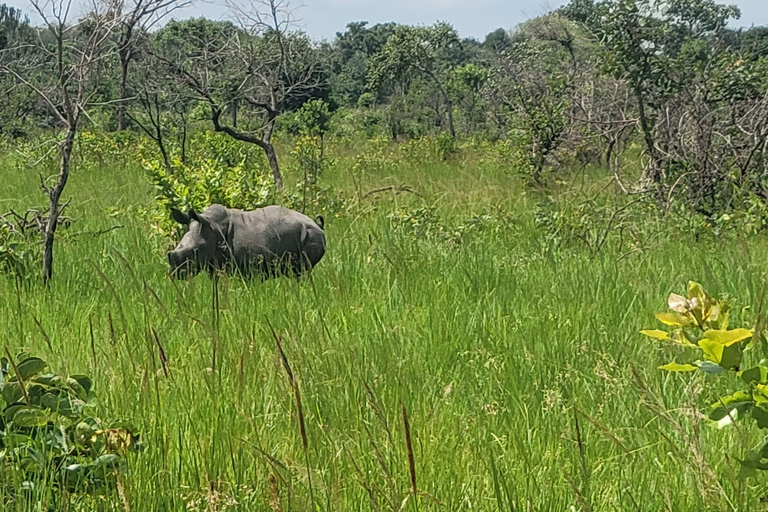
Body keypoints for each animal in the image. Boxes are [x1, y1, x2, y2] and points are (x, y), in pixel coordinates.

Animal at [167, 204, 326, 278]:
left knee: (301, 271)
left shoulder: (250, 268)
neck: (212, 227)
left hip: (311, 235)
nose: (174, 274)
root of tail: (317, 224)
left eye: (195, 252)